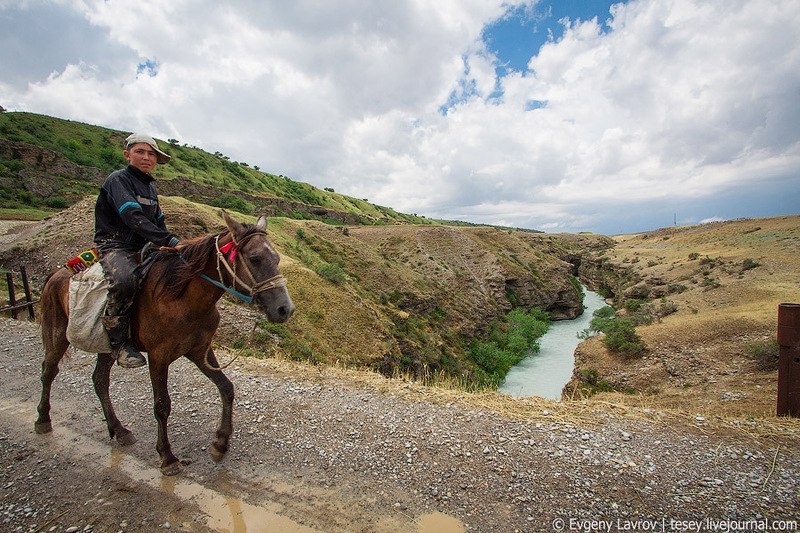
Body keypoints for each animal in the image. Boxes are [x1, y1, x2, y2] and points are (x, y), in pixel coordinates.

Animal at [35, 211, 294, 474]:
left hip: (107, 347)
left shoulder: (200, 351)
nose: (285, 309)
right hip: (58, 335)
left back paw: (119, 430)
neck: (181, 297)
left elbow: (226, 388)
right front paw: (167, 456)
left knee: (99, 380)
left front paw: (220, 443)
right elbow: (162, 405)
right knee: (49, 371)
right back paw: (43, 420)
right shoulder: (158, 357)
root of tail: (56, 274)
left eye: (276, 258)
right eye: (255, 258)